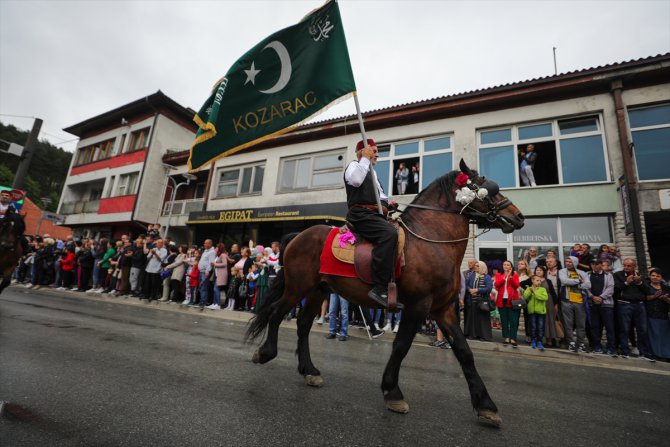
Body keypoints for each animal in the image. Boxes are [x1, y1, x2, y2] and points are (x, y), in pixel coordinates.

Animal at [245, 160, 524, 428]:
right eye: (484, 186)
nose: (518, 217)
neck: (430, 239)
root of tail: (298, 236)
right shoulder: (417, 306)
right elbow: (401, 346)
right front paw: (392, 392)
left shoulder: (443, 309)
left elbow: (465, 352)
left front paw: (486, 405)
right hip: (297, 287)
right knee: (276, 313)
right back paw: (266, 353)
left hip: (317, 291)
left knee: (303, 324)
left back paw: (309, 370)